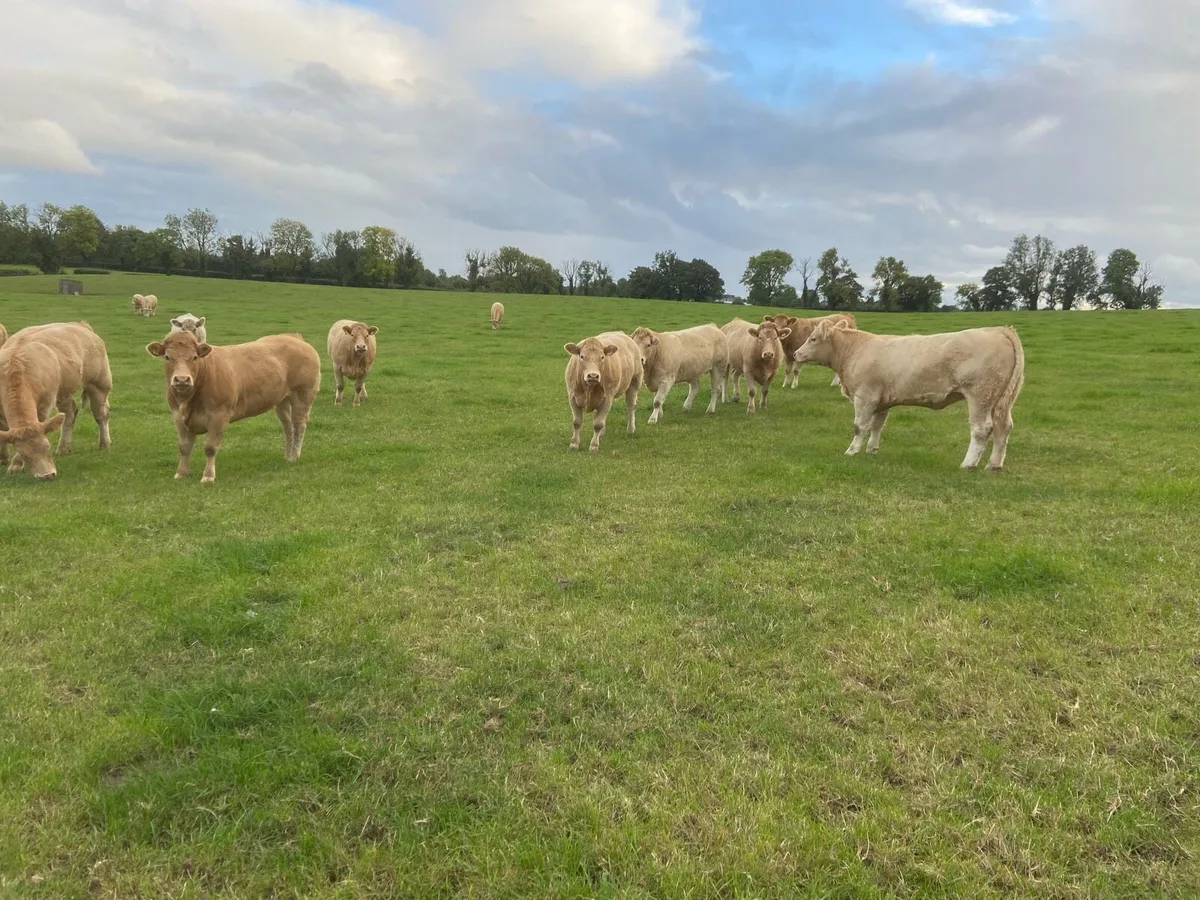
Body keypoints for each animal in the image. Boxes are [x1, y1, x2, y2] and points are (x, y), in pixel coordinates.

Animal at [0, 321, 112, 481]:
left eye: (47, 447)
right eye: (25, 454)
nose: (47, 475)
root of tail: (80, 325)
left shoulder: (43, 407)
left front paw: (15, 465)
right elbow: (3, 430)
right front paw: (3, 458)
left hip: (99, 384)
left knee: (101, 415)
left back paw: (104, 444)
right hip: (63, 392)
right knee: (70, 413)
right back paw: (63, 447)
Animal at [146, 330, 320, 483]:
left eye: (194, 357)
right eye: (167, 357)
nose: (182, 379)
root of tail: (293, 337)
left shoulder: (218, 416)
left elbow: (210, 447)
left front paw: (208, 476)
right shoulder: (178, 417)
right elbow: (184, 447)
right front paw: (181, 473)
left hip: (303, 394)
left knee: (299, 425)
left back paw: (294, 456)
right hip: (282, 401)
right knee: (288, 427)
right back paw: (288, 455)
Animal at [793, 320, 1025, 469]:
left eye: (813, 339)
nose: (795, 353)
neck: (855, 351)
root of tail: (999, 330)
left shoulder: (865, 397)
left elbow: (859, 426)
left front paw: (852, 450)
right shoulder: (881, 400)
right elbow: (877, 426)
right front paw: (872, 449)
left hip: (981, 395)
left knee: (981, 429)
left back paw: (968, 464)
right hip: (1002, 401)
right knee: (1003, 428)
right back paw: (994, 465)